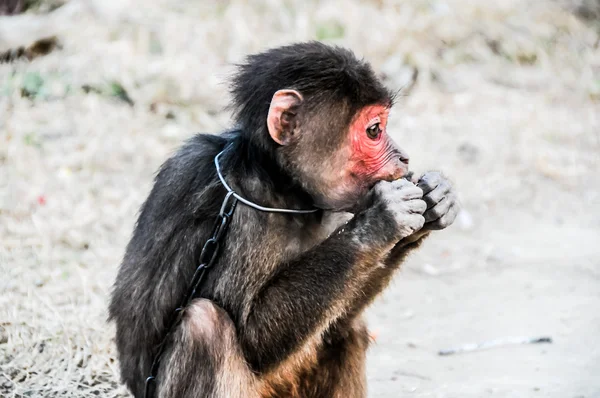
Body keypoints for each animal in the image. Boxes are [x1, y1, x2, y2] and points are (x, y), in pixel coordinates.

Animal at [109, 42, 460, 396]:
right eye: (374, 130)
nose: (404, 157)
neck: (282, 187)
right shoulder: (239, 210)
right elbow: (253, 338)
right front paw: (381, 221)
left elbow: (340, 319)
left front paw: (434, 202)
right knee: (204, 325)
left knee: (347, 330)